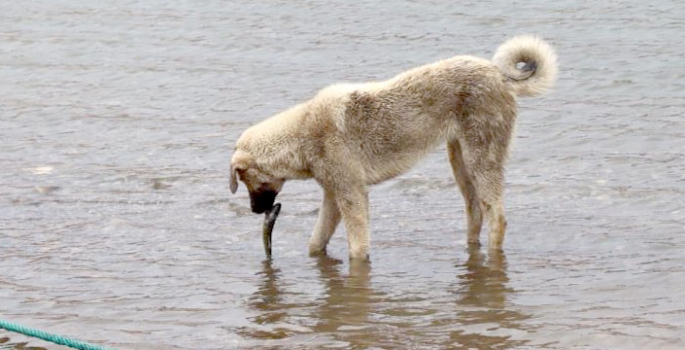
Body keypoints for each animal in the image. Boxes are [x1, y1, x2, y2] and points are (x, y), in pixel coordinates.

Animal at [230, 36, 556, 260]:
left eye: (244, 180)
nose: (255, 211)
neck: (302, 135)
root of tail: (500, 75)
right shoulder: (334, 197)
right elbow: (316, 241)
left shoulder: (351, 196)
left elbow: (357, 247)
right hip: (460, 162)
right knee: (475, 211)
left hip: (481, 160)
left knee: (497, 218)